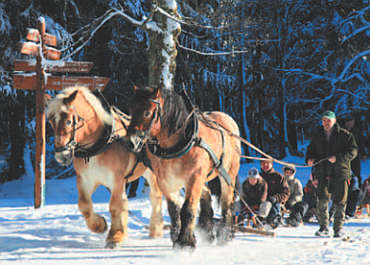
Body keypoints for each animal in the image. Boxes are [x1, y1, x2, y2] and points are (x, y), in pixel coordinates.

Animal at [125, 86, 241, 248]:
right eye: (130, 110)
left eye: (147, 112)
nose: (131, 142)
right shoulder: (166, 181)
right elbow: (174, 210)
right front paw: (176, 237)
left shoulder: (194, 177)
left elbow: (188, 209)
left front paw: (185, 243)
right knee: (207, 194)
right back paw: (207, 230)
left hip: (227, 174)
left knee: (227, 203)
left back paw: (225, 235)